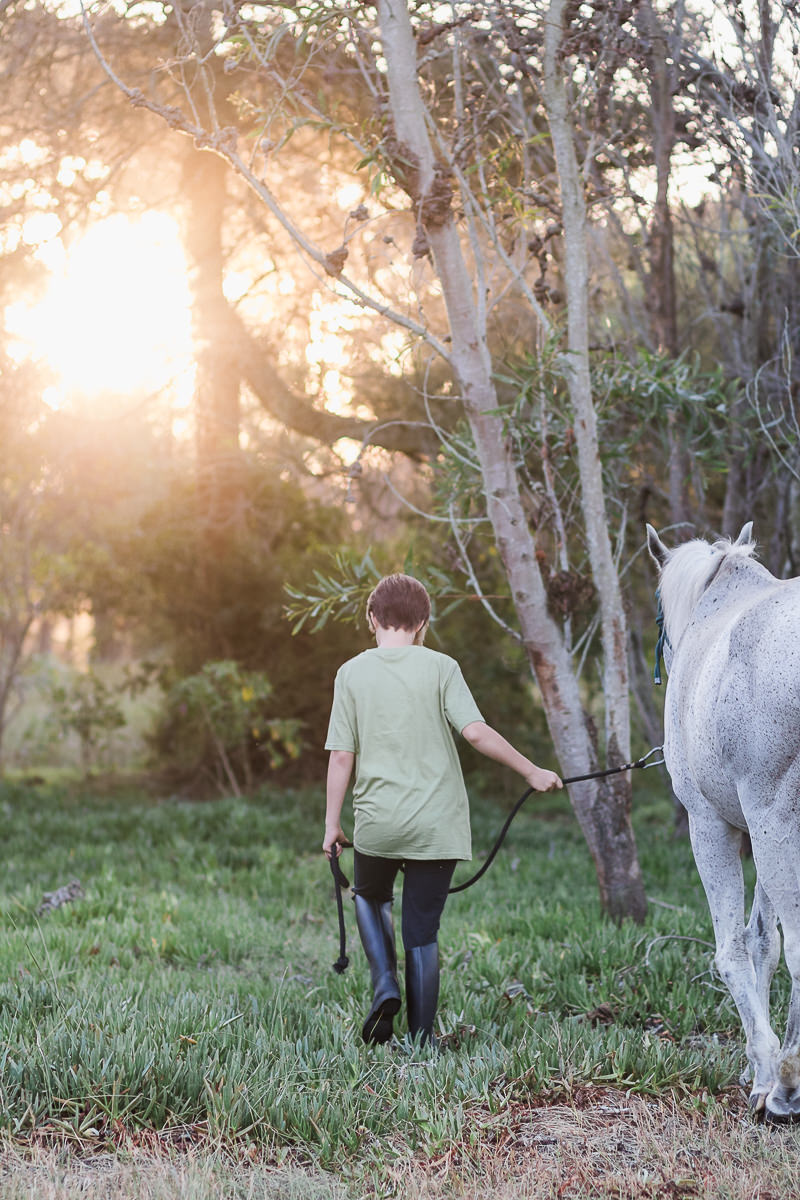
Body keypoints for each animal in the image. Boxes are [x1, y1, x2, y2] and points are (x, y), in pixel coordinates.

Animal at [647, 522, 800, 1122]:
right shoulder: (761, 831)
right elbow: (762, 943)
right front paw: (763, 1071)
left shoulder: (713, 826)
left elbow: (734, 949)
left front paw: (768, 1075)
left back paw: (787, 1088)